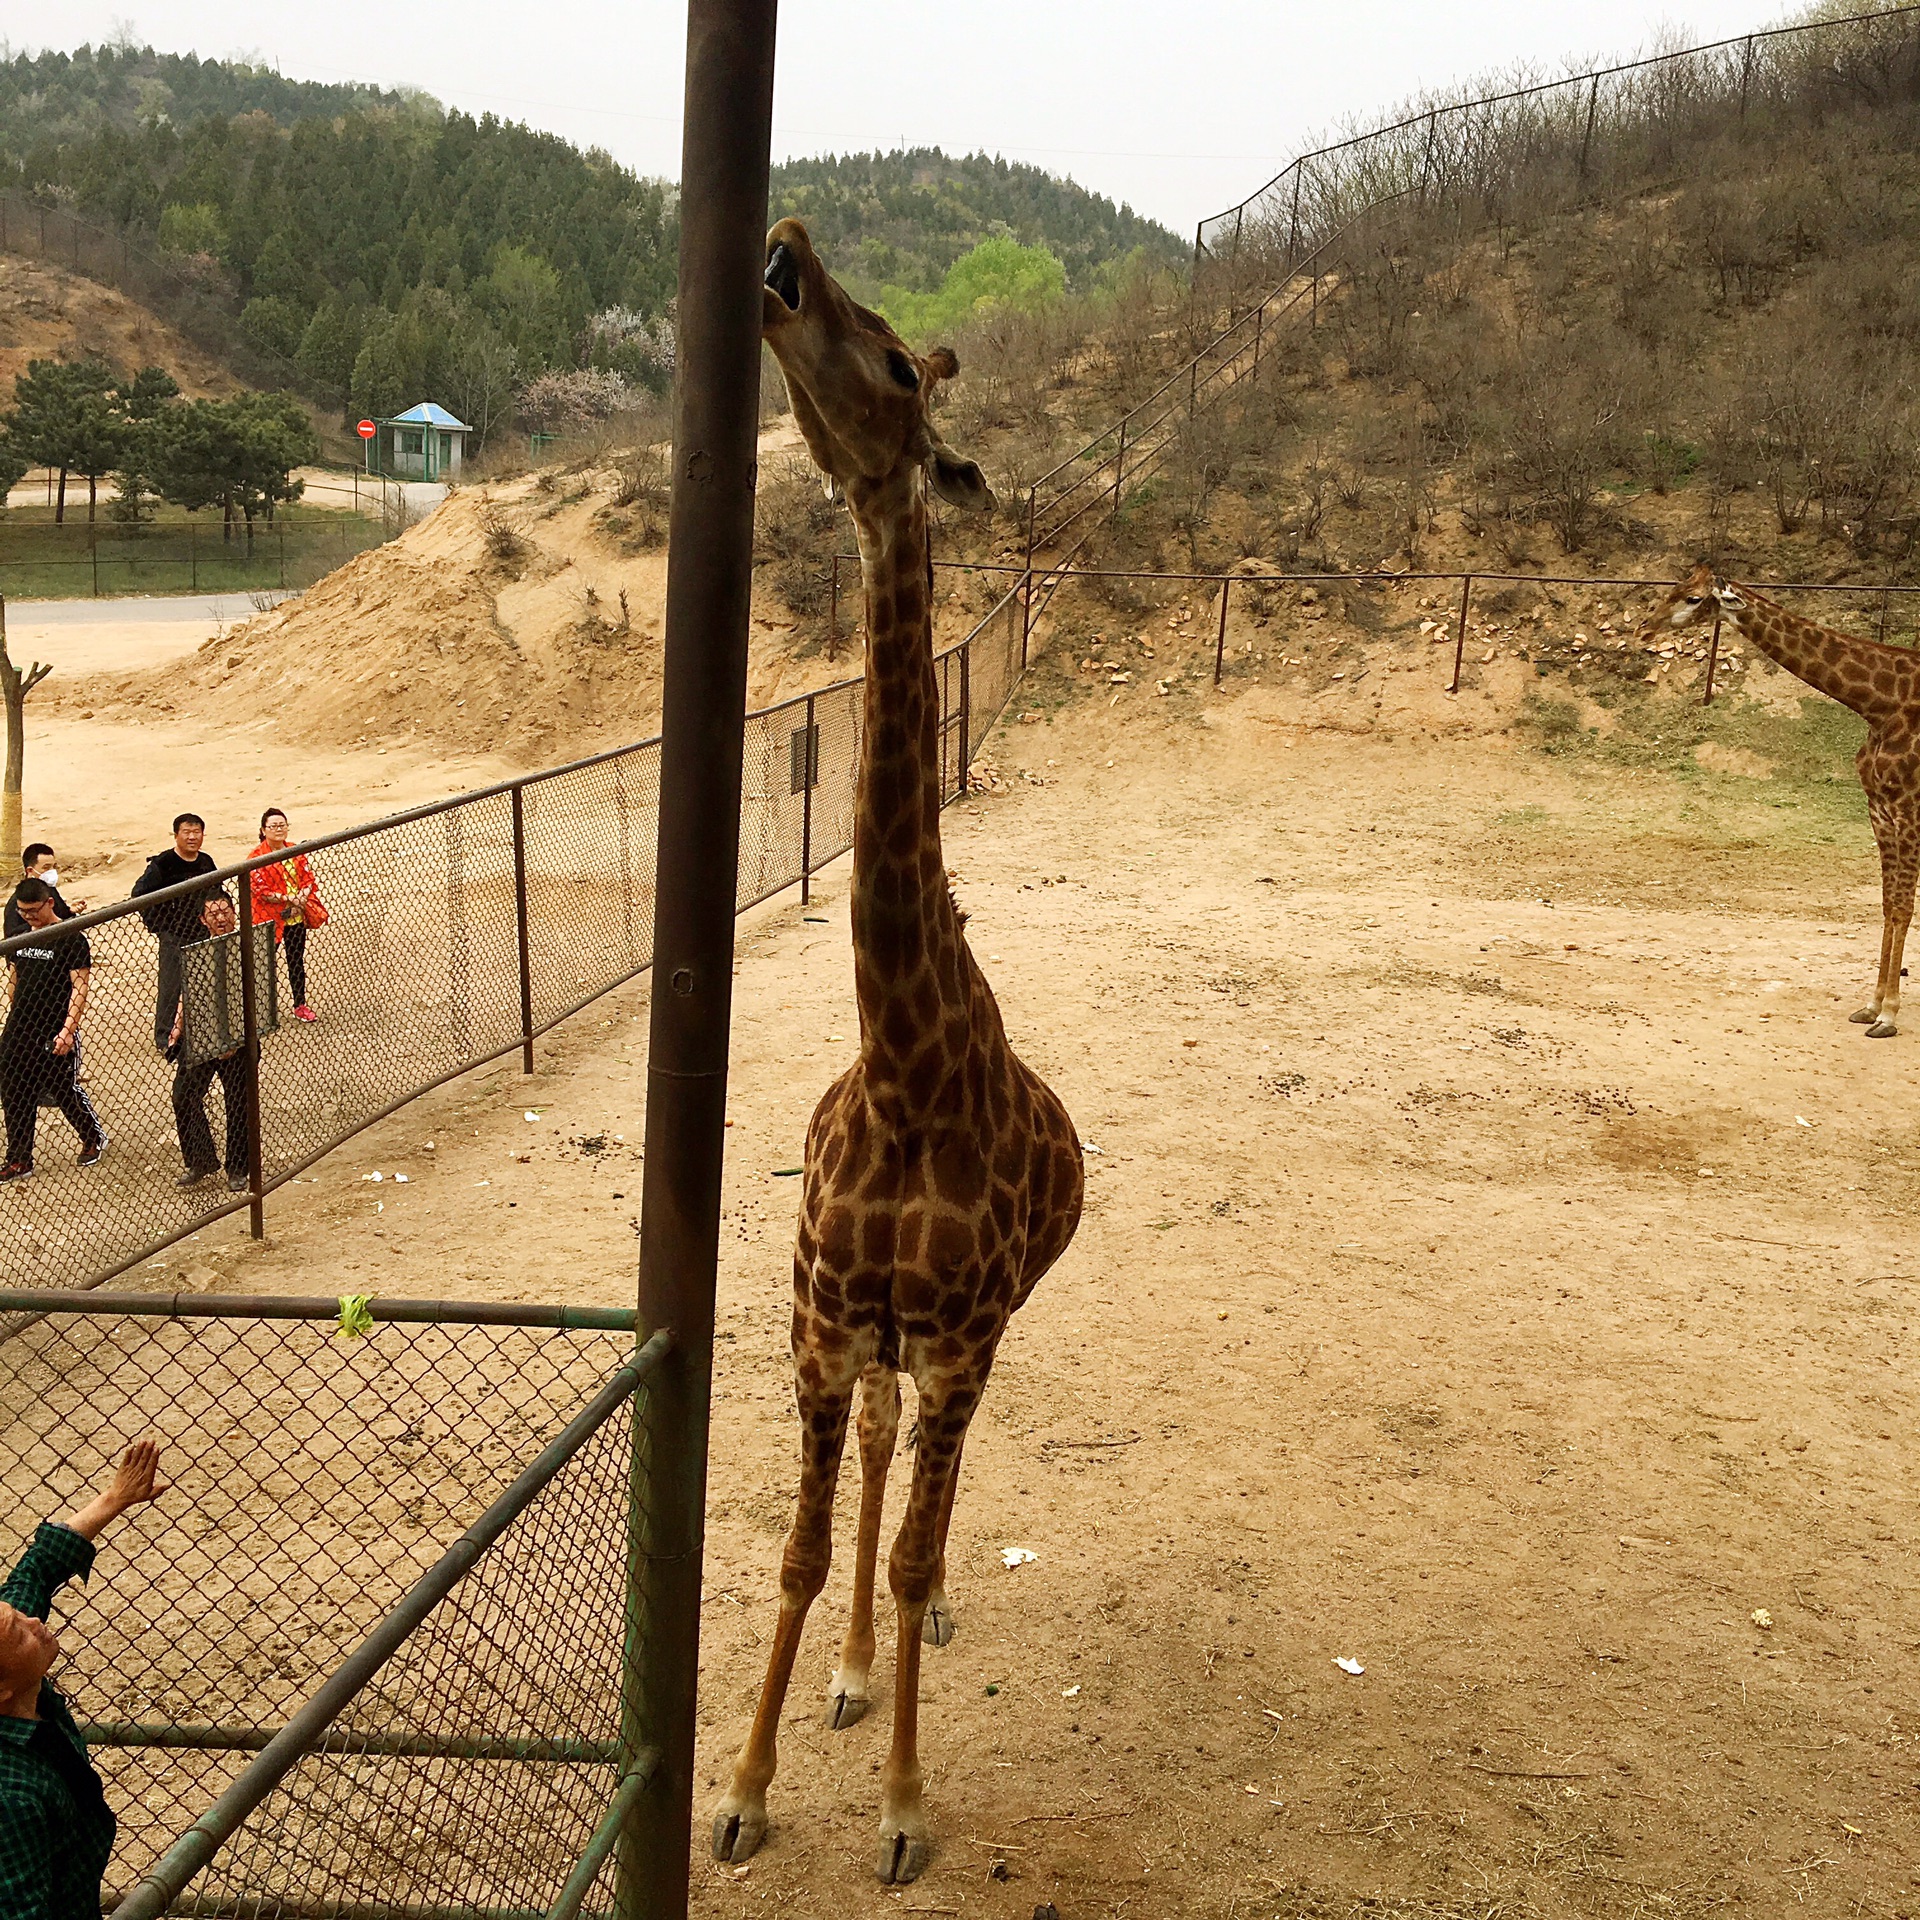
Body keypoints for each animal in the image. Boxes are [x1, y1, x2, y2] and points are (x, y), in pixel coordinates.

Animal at [1635, 560, 1920, 1036]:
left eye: (1693, 598)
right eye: (1675, 586)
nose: (1644, 627)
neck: (1879, 704)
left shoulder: (1908, 810)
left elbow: (1901, 907)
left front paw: (1889, 1014)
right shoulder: (1878, 809)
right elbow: (1885, 905)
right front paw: (1871, 1005)